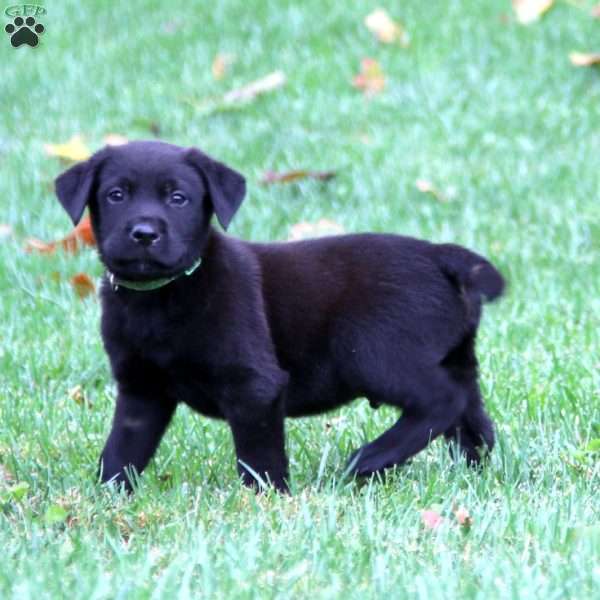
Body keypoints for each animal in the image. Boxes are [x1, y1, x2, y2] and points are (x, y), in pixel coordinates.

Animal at [55, 139, 502, 492]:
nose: (144, 233)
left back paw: (371, 458)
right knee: (471, 416)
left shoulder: (255, 389)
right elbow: (121, 451)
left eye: (177, 198)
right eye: (116, 195)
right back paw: (473, 474)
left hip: (373, 352)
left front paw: (265, 501)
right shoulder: (141, 391)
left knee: (442, 400)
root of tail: (441, 256)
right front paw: (106, 498)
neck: (163, 295)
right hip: (455, 358)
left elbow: (259, 458)